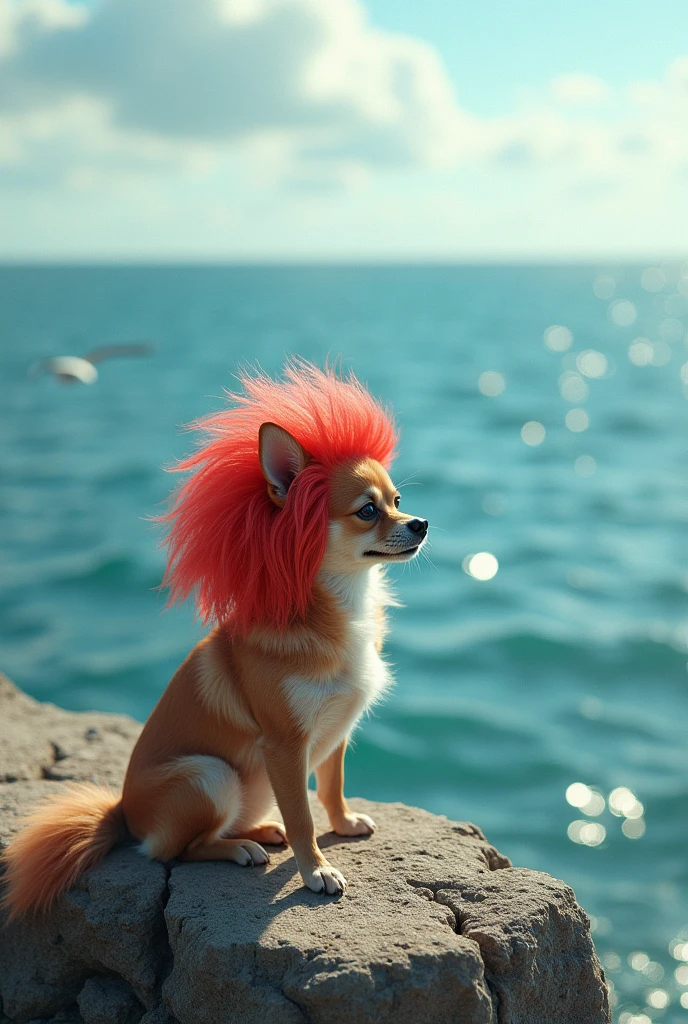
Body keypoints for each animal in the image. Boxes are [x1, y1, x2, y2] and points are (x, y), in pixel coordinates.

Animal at [2, 360, 427, 913]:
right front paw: (316, 869)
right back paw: (242, 847)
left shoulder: (337, 730)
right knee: (176, 850)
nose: (421, 522)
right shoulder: (284, 746)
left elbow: (330, 788)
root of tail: (122, 812)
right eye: (368, 511)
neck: (341, 606)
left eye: (398, 500)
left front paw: (343, 823)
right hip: (210, 774)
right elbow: (301, 815)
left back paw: (259, 832)